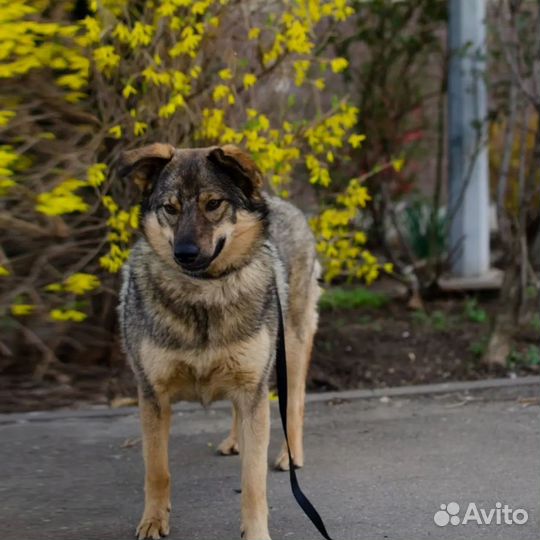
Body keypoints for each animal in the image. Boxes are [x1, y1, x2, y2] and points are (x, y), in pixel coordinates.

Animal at [118, 143, 320, 540]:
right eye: (170, 208)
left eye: (213, 204)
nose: (185, 253)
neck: (203, 293)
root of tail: (282, 203)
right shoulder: (153, 396)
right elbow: (157, 470)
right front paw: (153, 521)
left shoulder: (253, 388)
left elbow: (254, 482)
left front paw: (256, 532)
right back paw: (234, 440)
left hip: (290, 351)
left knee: (295, 404)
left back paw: (289, 455)